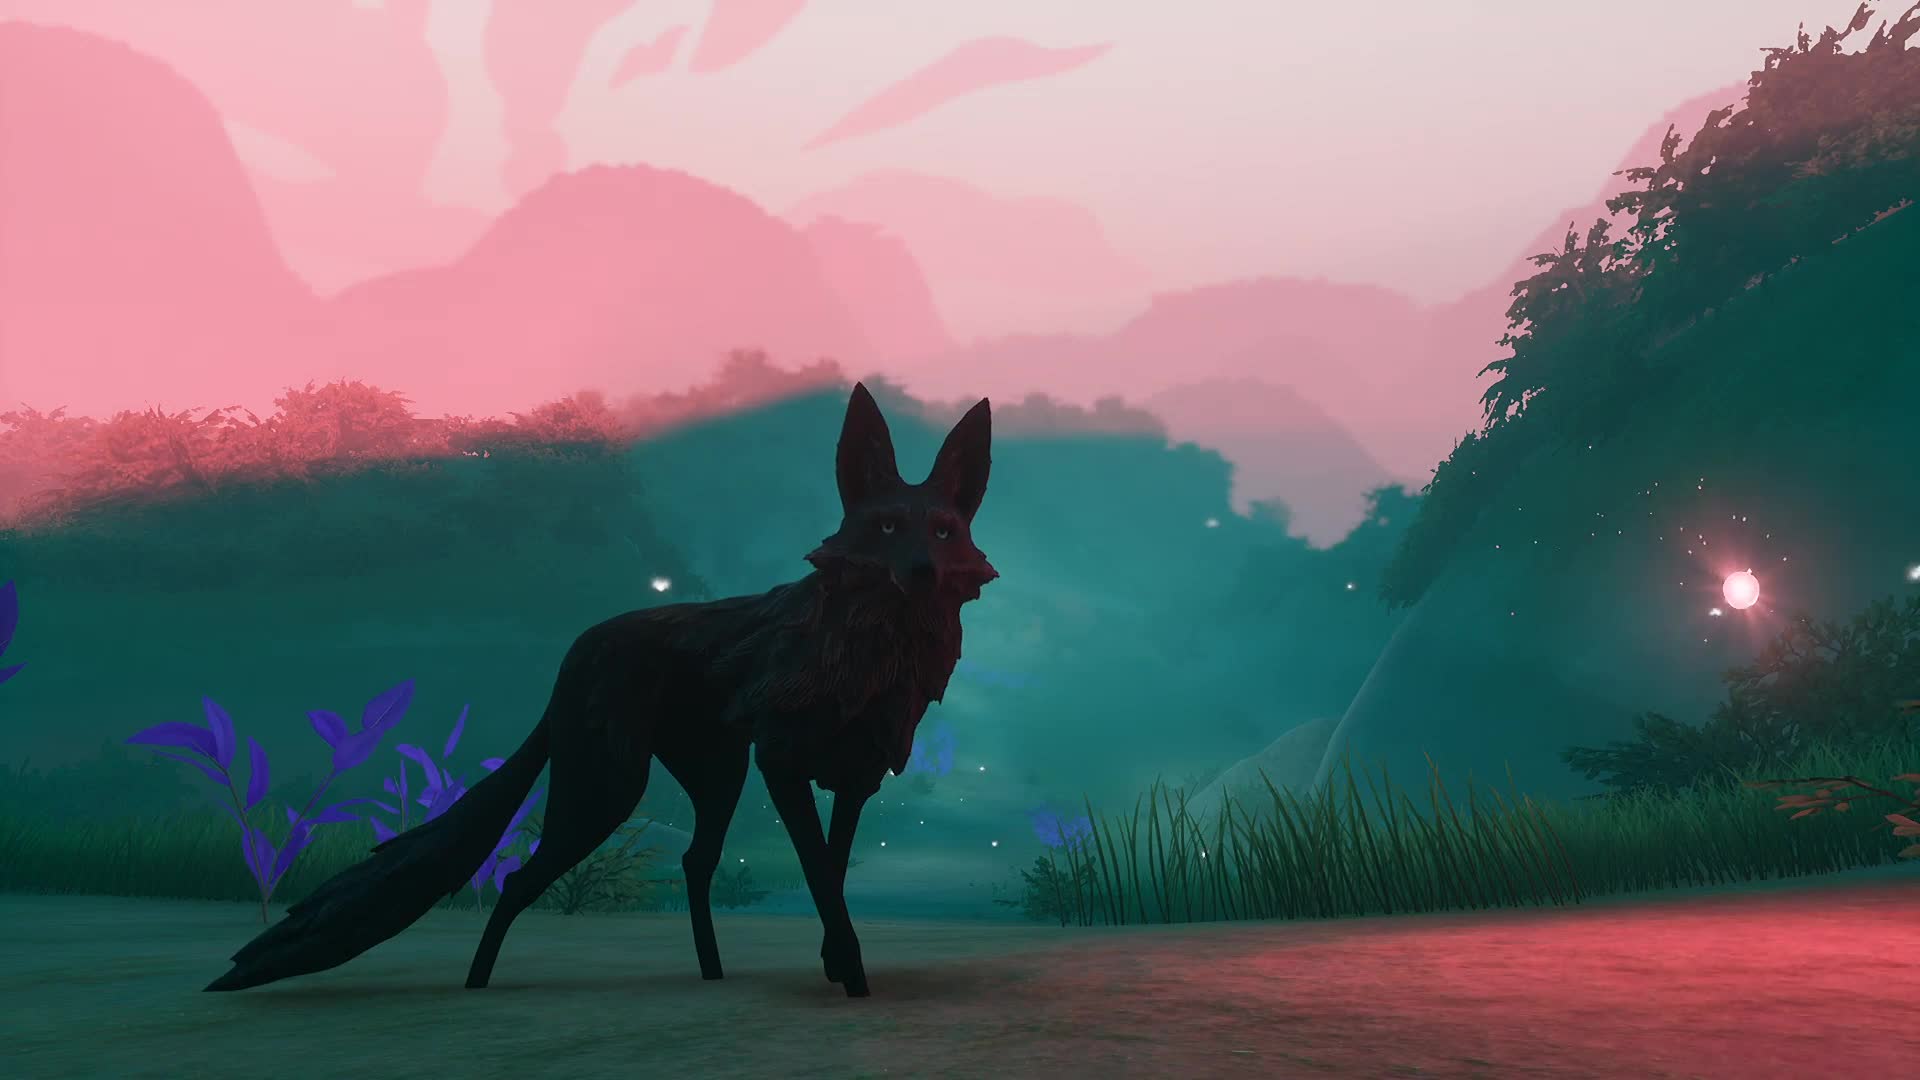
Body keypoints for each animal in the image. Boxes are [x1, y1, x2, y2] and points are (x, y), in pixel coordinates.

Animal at [205, 383, 997, 998]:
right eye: (887, 527)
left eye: (944, 531)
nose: (921, 571)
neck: (867, 659)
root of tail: (574, 650)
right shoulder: (781, 763)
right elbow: (822, 878)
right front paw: (853, 980)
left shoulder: (854, 777)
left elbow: (831, 871)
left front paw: (837, 965)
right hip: (608, 787)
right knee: (519, 880)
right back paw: (477, 985)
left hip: (713, 780)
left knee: (693, 862)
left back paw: (711, 975)